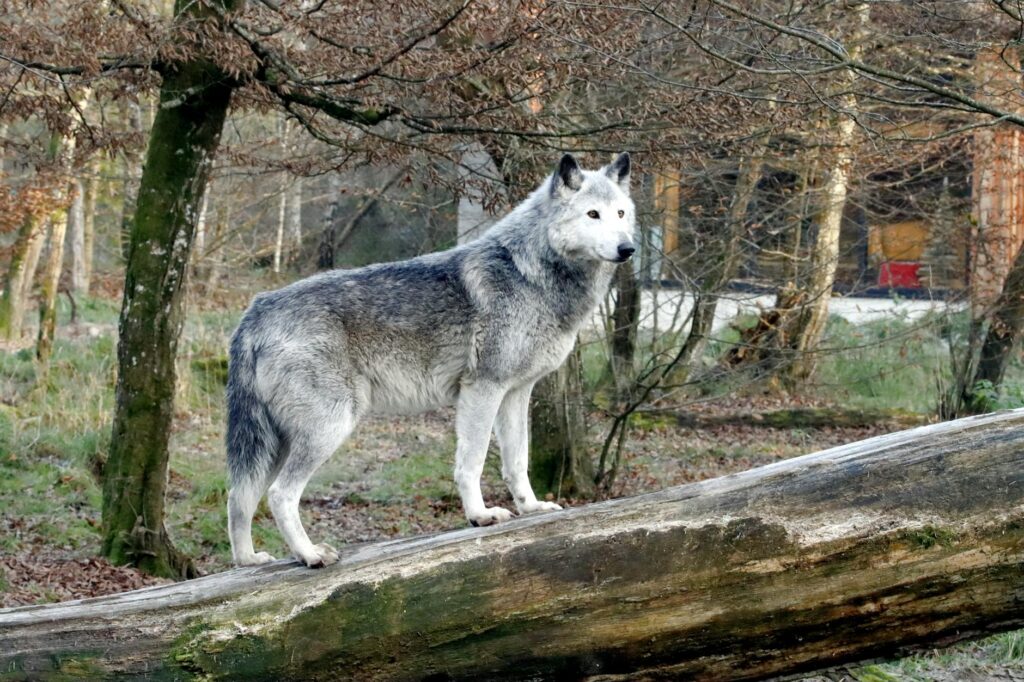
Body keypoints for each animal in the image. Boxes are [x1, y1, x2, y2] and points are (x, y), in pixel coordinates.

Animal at [226, 153, 636, 567]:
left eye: (620, 213)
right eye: (592, 214)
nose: (628, 248)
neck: (530, 272)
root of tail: (255, 312)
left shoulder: (516, 394)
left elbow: (517, 461)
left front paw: (531, 507)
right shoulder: (482, 389)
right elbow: (471, 462)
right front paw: (480, 515)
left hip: (274, 443)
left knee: (238, 496)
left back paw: (249, 560)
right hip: (328, 428)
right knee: (279, 494)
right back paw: (309, 554)